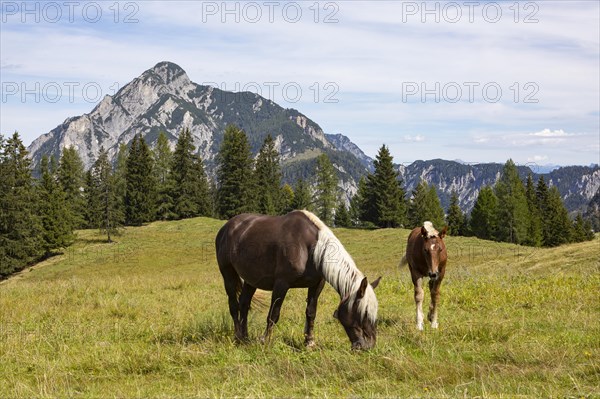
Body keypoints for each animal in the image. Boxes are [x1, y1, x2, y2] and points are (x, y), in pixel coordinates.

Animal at [216, 209, 380, 350]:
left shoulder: (316, 284)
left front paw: (309, 342)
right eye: (364, 313)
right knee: (234, 305)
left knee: (244, 304)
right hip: (227, 274)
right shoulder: (281, 284)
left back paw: (245, 338)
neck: (309, 248)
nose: (368, 346)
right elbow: (273, 315)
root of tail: (227, 227)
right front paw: (265, 341)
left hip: (251, 280)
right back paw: (238, 337)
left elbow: (311, 313)